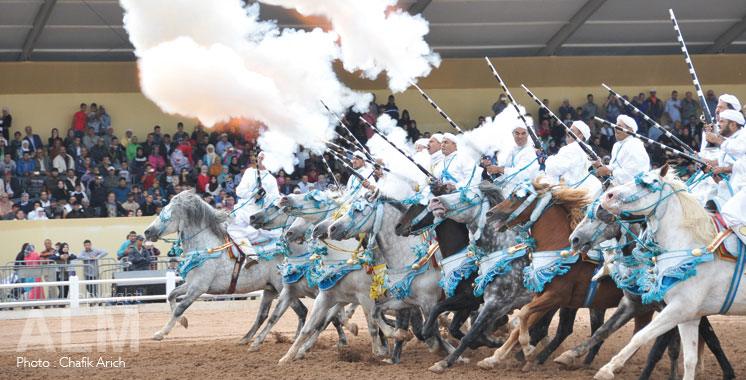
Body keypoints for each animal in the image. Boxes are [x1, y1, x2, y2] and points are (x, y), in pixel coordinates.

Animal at [144, 190, 294, 342]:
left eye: (166, 216)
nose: (147, 232)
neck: (206, 247)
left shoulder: (198, 287)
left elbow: (180, 307)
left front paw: (161, 333)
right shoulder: (191, 284)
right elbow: (171, 296)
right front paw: (182, 321)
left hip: (282, 287)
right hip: (271, 288)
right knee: (265, 314)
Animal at [474, 180, 648, 370]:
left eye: (516, 196)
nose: (490, 213)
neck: (556, 249)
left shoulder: (554, 296)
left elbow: (524, 314)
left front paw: (528, 351)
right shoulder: (543, 296)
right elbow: (522, 323)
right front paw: (493, 359)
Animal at [596, 166, 740, 380]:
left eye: (648, 183)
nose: (606, 197)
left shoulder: (679, 308)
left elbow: (641, 337)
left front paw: (608, 369)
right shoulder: (689, 316)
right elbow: (689, 360)